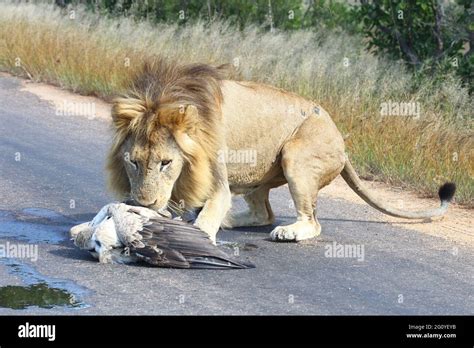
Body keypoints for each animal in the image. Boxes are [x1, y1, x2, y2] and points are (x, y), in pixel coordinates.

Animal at [107, 59, 456, 243]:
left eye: (166, 162)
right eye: (133, 162)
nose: (143, 202)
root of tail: (342, 144)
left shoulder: (217, 180)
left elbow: (211, 209)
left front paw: (198, 234)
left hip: (296, 155)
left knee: (311, 221)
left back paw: (288, 232)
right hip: (256, 175)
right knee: (264, 213)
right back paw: (233, 221)